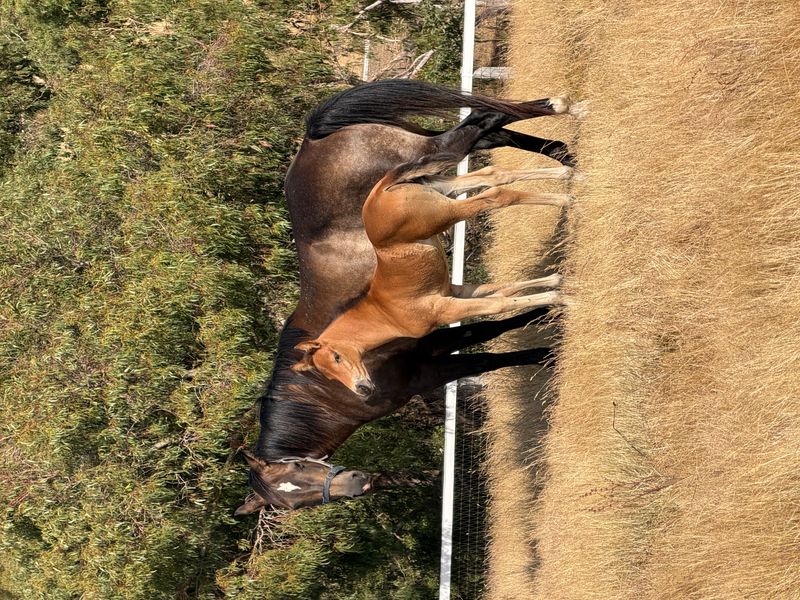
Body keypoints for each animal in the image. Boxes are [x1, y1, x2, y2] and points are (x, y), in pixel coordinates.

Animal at [290, 153, 573, 396]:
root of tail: (382, 189)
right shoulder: (456, 291)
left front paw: (566, 299)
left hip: (445, 213)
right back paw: (570, 175)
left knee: (495, 196)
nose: (362, 389)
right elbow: (506, 290)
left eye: (336, 357)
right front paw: (558, 286)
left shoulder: (446, 309)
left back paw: (568, 199)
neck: (386, 314)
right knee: (493, 175)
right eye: (328, 375)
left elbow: (499, 304)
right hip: (445, 190)